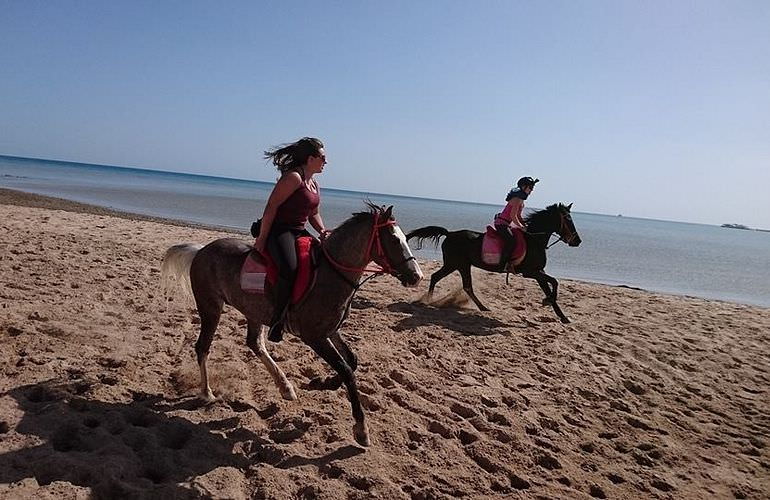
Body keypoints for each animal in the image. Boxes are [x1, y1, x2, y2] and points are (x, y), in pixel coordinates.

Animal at [162, 203, 424, 446]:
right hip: (210, 308)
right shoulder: (314, 336)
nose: (416, 276)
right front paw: (361, 429)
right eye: (394, 239)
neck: (331, 274)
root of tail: (201, 250)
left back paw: (285, 387)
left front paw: (323, 383)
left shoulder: (331, 331)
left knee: (255, 343)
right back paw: (207, 393)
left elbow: (351, 361)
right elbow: (346, 370)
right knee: (203, 347)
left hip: (253, 311)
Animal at [404, 203, 580, 324]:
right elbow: (554, 282)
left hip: (459, 265)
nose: (577, 241)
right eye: (568, 219)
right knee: (449, 281)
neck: (534, 240)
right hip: (456, 264)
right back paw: (429, 300)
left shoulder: (538, 272)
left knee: (456, 283)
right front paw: (548, 301)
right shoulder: (530, 272)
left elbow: (551, 285)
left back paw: (479, 307)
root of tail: (449, 234)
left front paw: (561, 315)